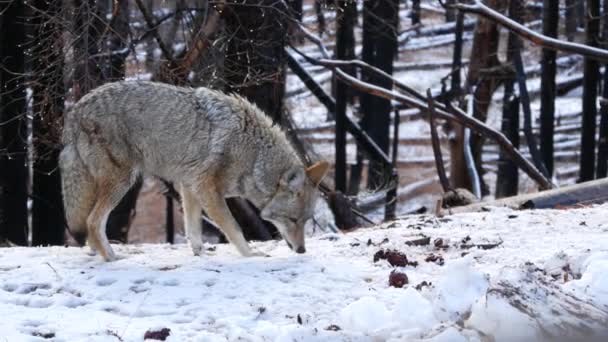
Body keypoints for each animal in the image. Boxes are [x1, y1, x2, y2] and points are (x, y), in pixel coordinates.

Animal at [59, 81, 330, 262]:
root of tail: (75, 111)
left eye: (305, 220)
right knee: (92, 221)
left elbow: (193, 229)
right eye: (292, 220)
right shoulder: (206, 189)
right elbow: (234, 228)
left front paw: (200, 254)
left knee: (89, 224)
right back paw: (112, 258)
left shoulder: (189, 186)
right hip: (122, 182)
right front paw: (251, 254)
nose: (302, 250)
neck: (253, 156)